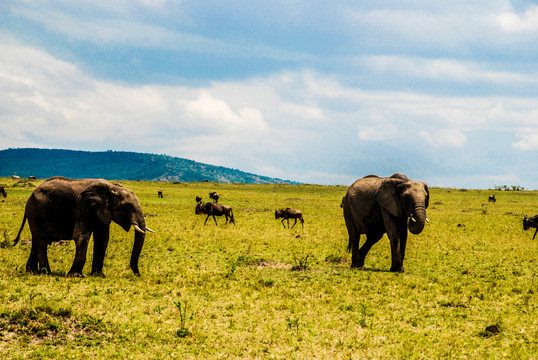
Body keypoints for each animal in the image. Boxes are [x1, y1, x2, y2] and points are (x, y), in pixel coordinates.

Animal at [12, 176, 154, 276]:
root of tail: (30, 195)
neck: (110, 188)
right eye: (127, 207)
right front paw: (76, 275)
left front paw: (98, 275)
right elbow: (81, 236)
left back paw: (32, 271)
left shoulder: (101, 212)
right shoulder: (83, 208)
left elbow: (103, 238)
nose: (138, 275)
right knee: (41, 240)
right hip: (36, 211)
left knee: (37, 240)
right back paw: (46, 272)